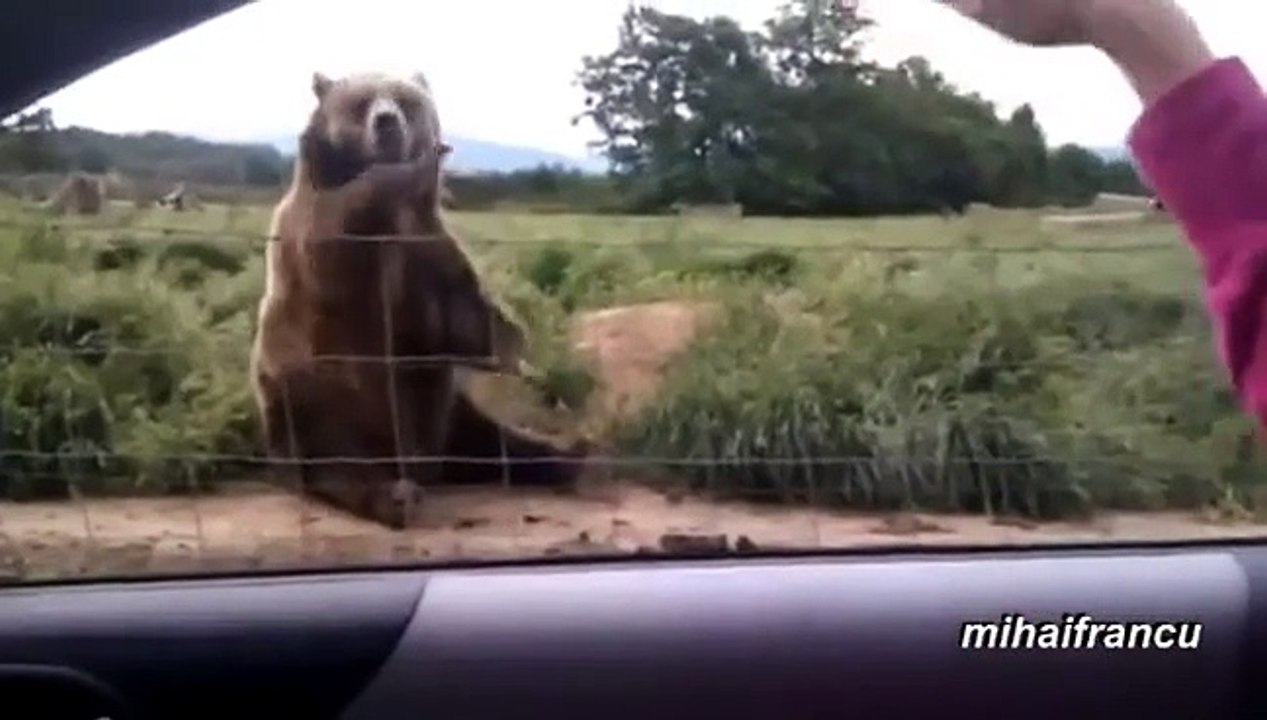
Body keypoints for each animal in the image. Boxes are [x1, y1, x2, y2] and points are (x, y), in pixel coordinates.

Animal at [250, 70, 589, 530]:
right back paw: (392, 496)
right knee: (332, 456)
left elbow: (460, 314)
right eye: (360, 102)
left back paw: (566, 453)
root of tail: (410, 459)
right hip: (311, 393)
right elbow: (341, 225)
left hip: (447, 410)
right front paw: (424, 163)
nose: (387, 122)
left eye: (405, 100)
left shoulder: (425, 251)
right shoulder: (323, 237)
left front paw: (516, 349)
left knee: (487, 440)